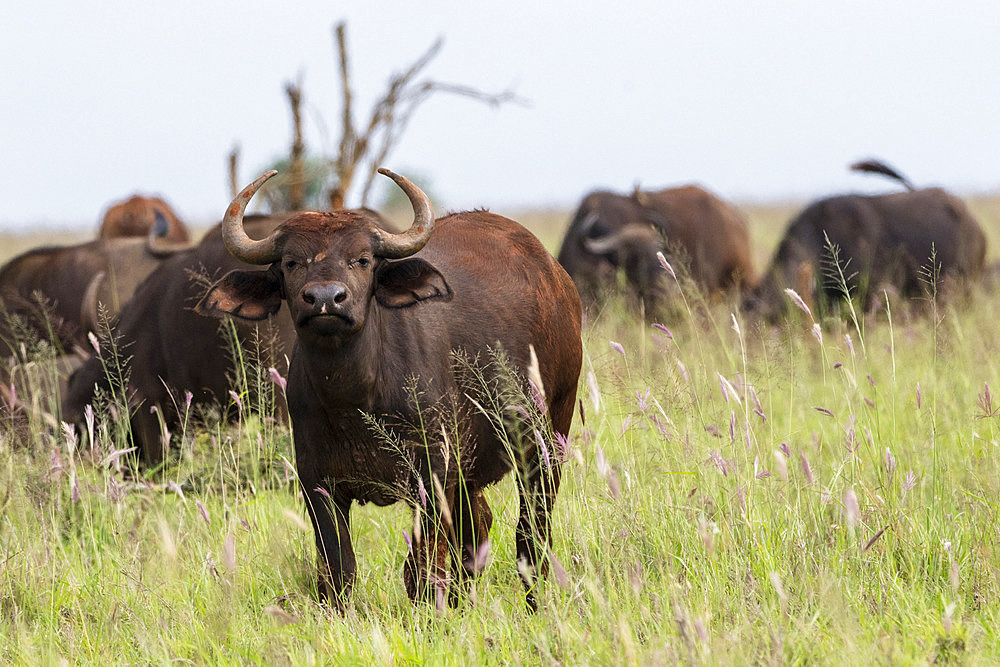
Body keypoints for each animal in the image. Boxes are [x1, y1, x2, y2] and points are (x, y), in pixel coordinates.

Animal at [196, 171, 584, 612]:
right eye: (291, 262)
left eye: (362, 259)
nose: (326, 299)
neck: (354, 402)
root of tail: (556, 277)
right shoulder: (317, 484)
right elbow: (338, 571)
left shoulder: (432, 478)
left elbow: (421, 568)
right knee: (478, 527)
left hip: (549, 439)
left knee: (531, 532)